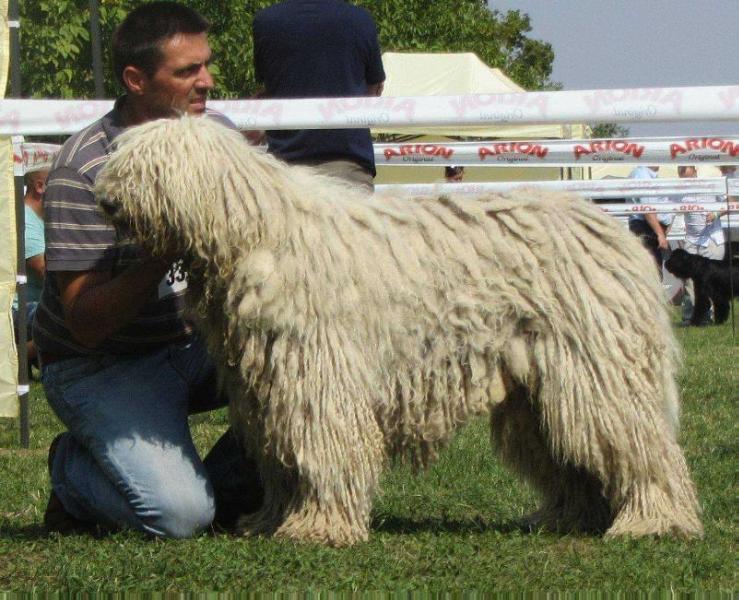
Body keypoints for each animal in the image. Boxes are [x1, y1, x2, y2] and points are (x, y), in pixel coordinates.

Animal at [95, 115, 704, 548]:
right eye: (119, 159)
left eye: (147, 167)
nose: (105, 198)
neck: (256, 232)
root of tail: (618, 237)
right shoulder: (267, 382)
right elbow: (282, 456)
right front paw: (270, 519)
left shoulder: (318, 372)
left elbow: (323, 448)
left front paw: (318, 527)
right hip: (540, 385)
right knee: (572, 454)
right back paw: (568, 517)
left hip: (596, 368)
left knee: (641, 447)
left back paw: (653, 520)